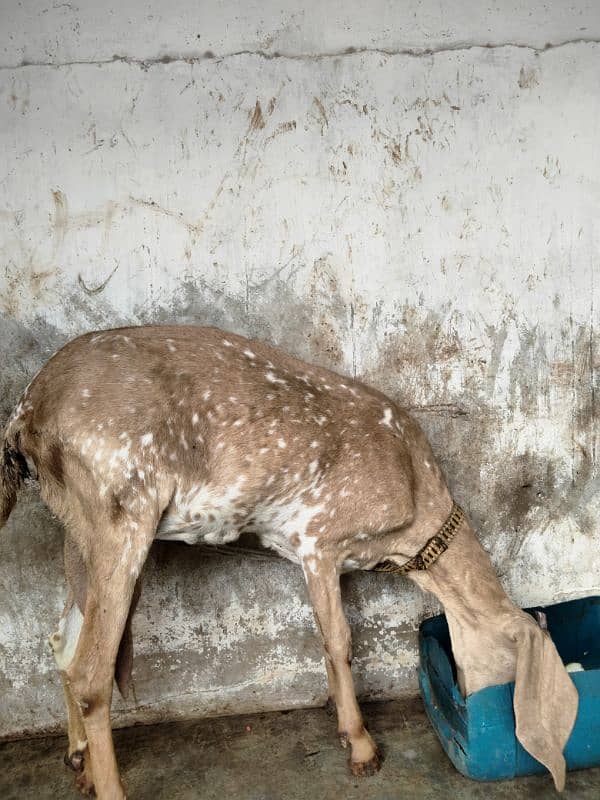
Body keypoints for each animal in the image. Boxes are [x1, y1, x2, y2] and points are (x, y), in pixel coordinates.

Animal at [2, 326, 580, 800]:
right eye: (512, 668)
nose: (471, 701)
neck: (415, 497)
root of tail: (28, 412)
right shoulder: (320, 538)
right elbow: (340, 641)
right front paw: (362, 745)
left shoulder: (302, 550)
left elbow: (325, 641)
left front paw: (341, 724)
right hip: (122, 510)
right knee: (92, 669)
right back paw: (109, 785)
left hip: (77, 525)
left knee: (62, 641)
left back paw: (77, 756)